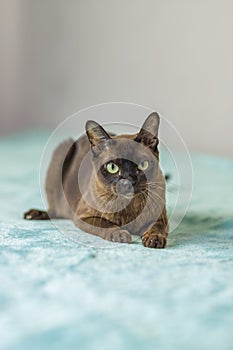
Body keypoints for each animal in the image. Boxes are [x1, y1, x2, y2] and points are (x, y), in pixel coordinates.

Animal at [23, 113, 168, 247]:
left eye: (143, 165)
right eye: (112, 167)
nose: (128, 183)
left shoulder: (160, 218)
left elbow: (157, 227)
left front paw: (154, 238)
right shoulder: (83, 216)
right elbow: (106, 224)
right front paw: (119, 234)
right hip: (61, 154)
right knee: (55, 210)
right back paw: (34, 214)